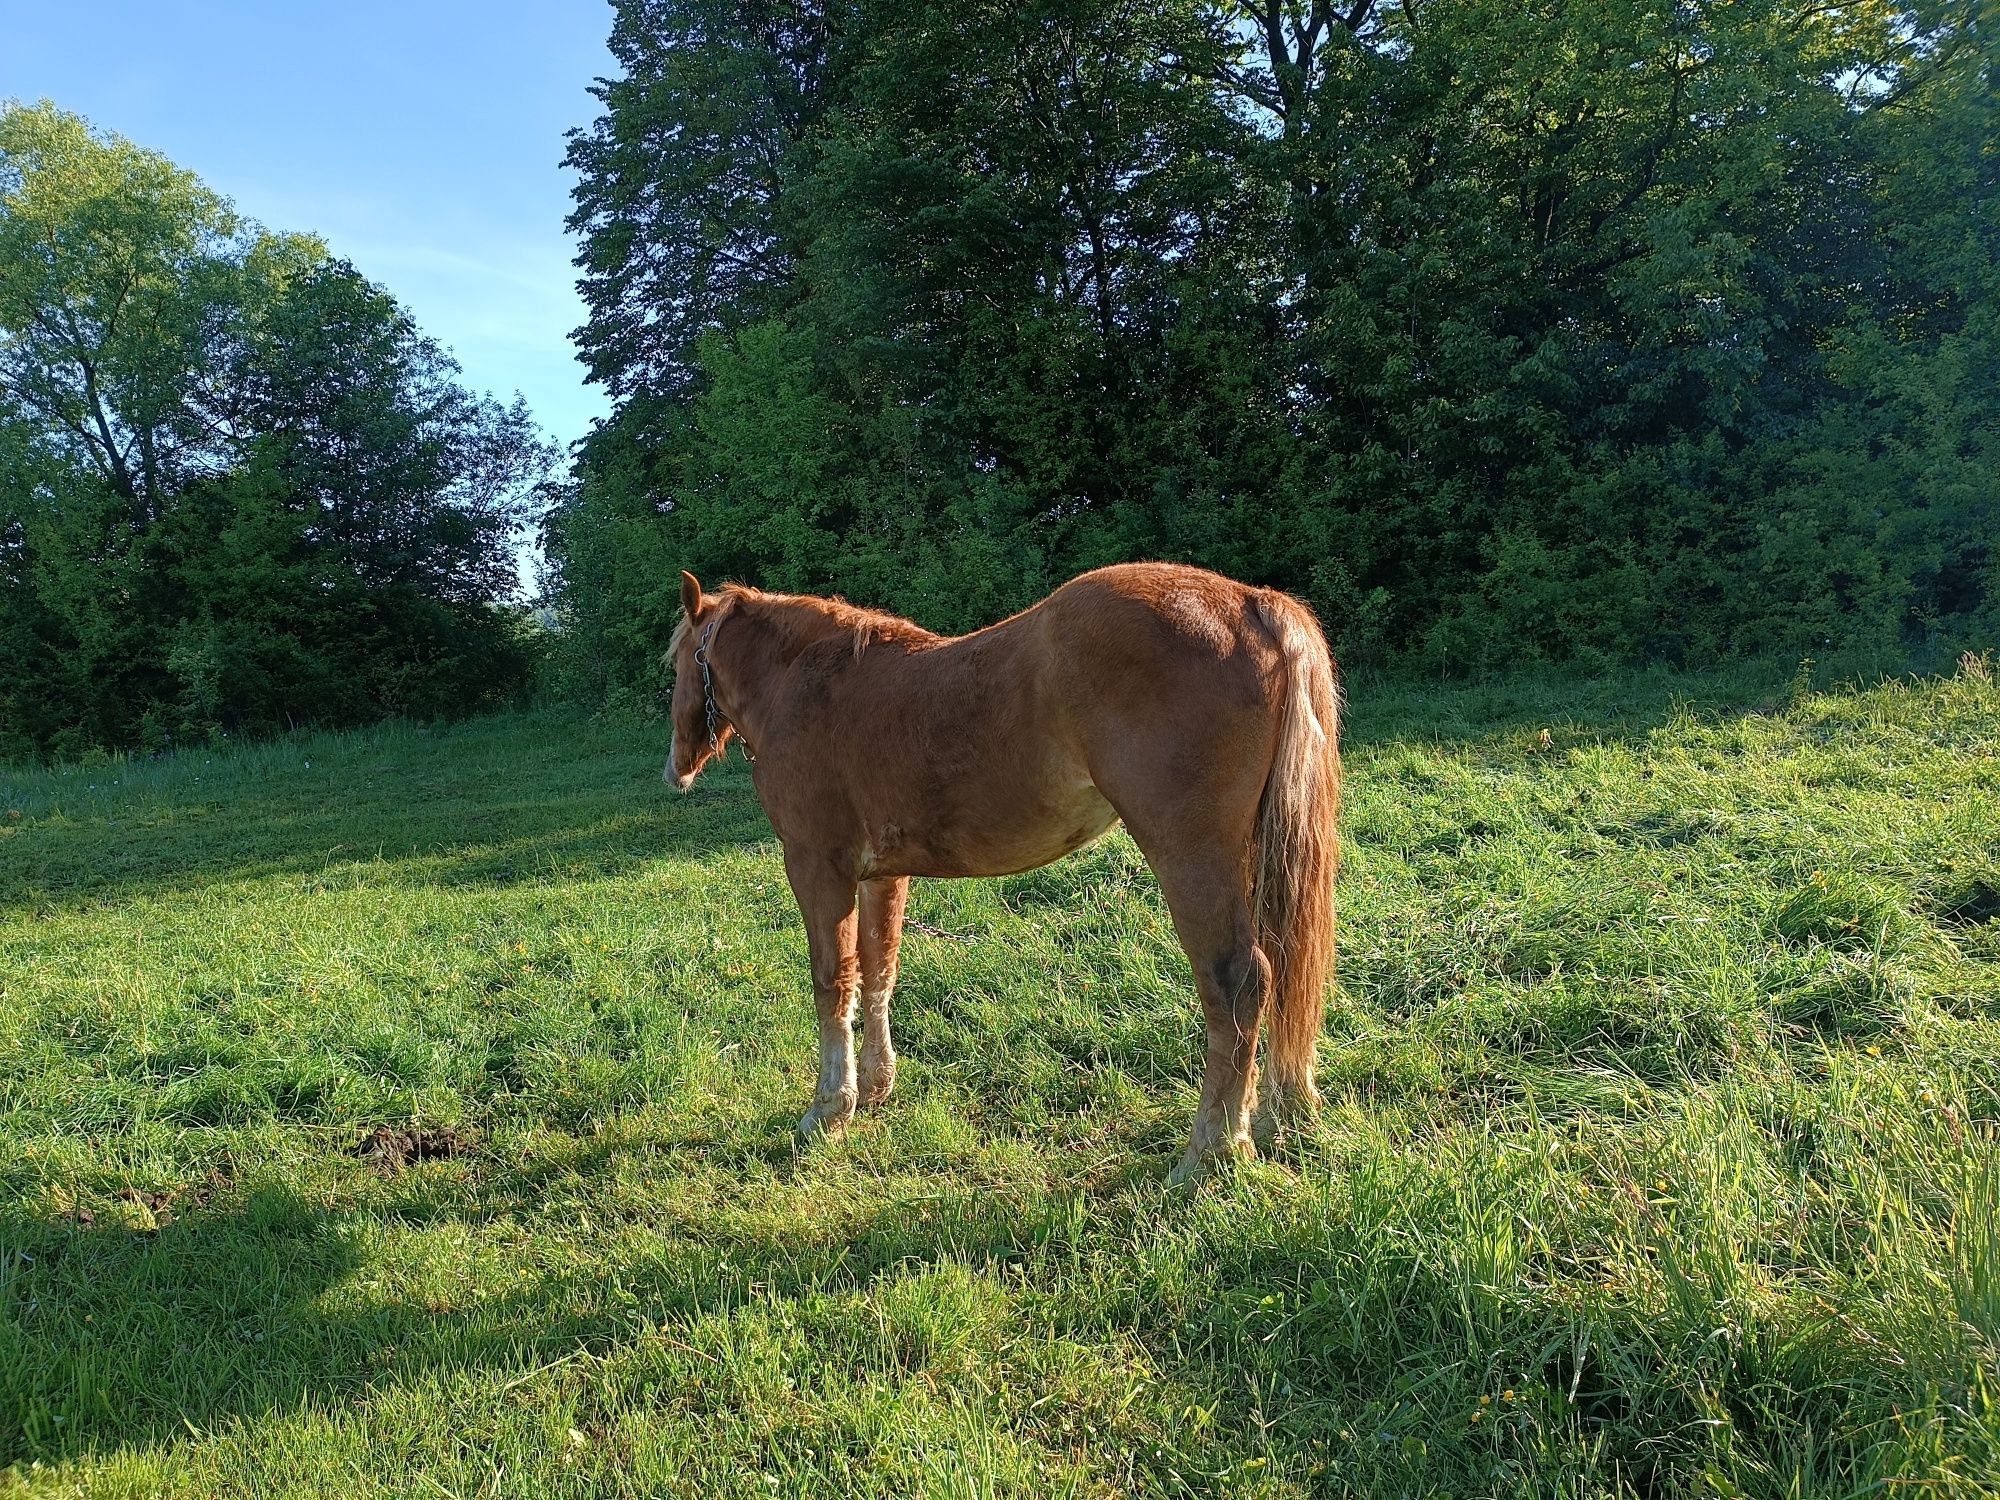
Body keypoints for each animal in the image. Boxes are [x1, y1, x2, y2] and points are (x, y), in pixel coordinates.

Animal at [672, 560, 1344, 1184]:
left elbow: (832, 982)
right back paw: (1278, 1114)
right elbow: (878, 971)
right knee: (1282, 966)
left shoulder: (818, 868)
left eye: (675, 662)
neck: (809, 682)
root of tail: (1251, 603)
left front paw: (828, 1110)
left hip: (1192, 856)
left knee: (1239, 981)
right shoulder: (880, 876)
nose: (677, 768)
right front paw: (875, 1087)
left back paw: (1212, 1149)